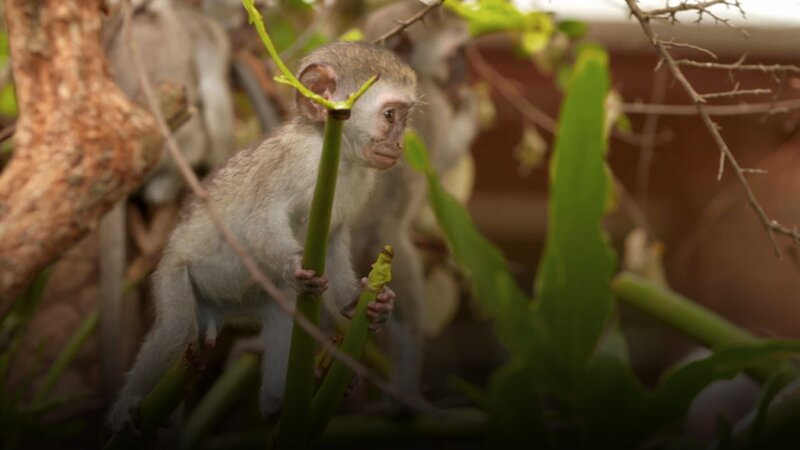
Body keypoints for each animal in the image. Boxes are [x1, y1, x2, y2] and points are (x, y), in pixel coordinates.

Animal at [108, 41, 418, 434]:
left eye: (404, 117)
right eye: (390, 116)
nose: (399, 144)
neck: (336, 154)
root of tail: (215, 313)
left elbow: (334, 240)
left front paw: (365, 302)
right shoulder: (290, 161)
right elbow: (259, 220)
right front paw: (293, 265)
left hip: (248, 301)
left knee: (284, 311)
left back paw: (279, 402)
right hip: (173, 276)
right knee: (177, 330)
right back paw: (129, 402)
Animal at [353, 1, 479, 400]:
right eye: (455, 54)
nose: (462, 74)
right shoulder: (430, 105)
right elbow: (441, 160)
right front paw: (470, 110)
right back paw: (405, 390)